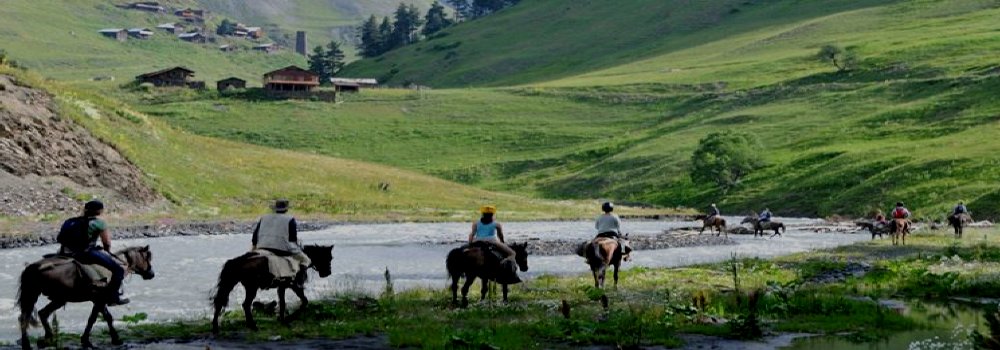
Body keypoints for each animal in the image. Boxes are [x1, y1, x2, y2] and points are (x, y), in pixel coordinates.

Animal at [16, 246, 154, 350]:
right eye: (147, 257)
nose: (151, 274)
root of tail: (34, 267)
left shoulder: (99, 300)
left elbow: (103, 317)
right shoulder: (99, 300)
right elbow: (97, 319)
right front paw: (95, 340)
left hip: (42, 296)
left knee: (34, 315)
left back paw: (40, 341)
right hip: (59, 298)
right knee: (37, 314)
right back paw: (44, 339)